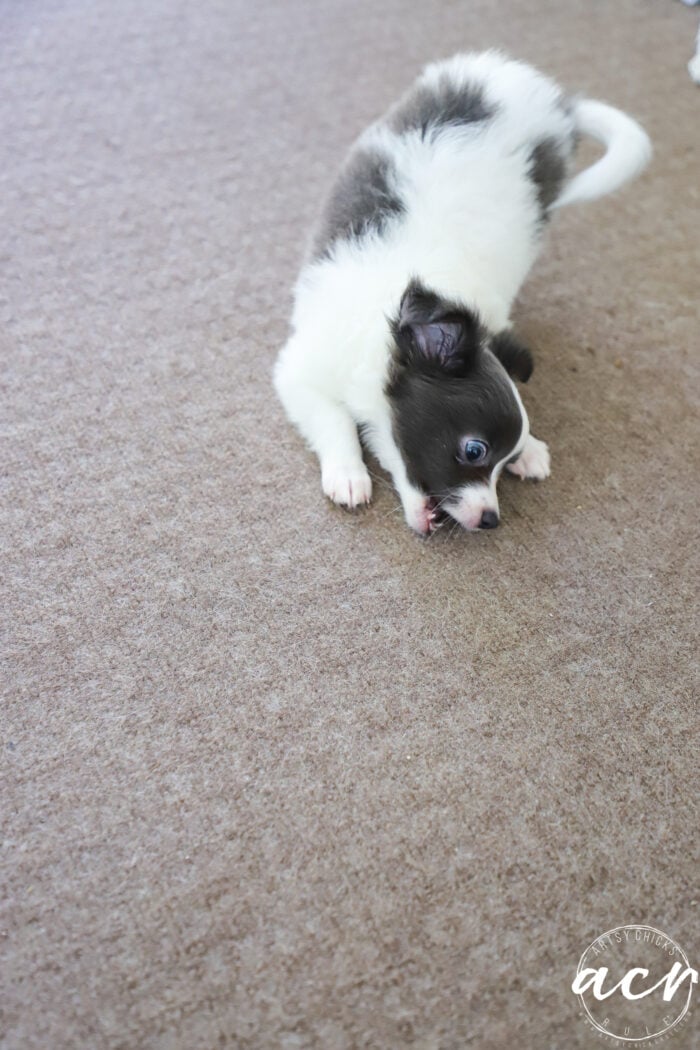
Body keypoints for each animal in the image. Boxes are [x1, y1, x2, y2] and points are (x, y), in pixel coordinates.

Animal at [272, 51, 650, 533]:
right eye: (474, 451)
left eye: (500, 458)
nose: (491, 519)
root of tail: (556, 99)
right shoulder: (299, 372)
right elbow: (333, 419)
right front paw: (348, 474)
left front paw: (530, 448)